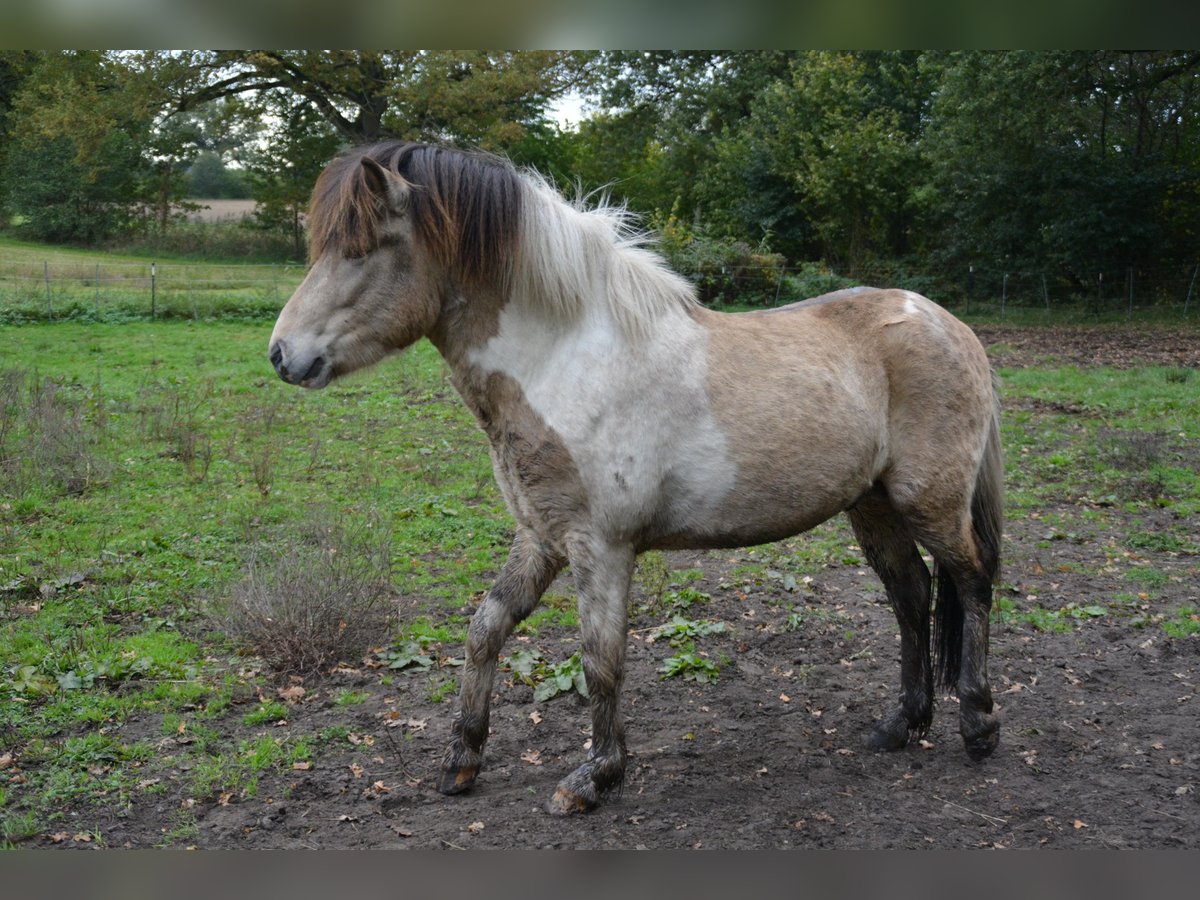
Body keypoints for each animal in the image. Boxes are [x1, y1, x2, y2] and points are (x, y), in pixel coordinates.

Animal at [269, 141, 1003, 816]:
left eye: (361, 250)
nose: (282, 355)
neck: (566, 361)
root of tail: (949, 324)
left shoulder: (602, 547)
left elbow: (600, 660)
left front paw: (594, 778)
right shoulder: (541, 538)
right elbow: (485, 630)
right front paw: (462, 760)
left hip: (928, 500)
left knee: (971, 582)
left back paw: (978, 724)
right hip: (872, 505)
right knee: (911, 595)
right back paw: (900, 726)